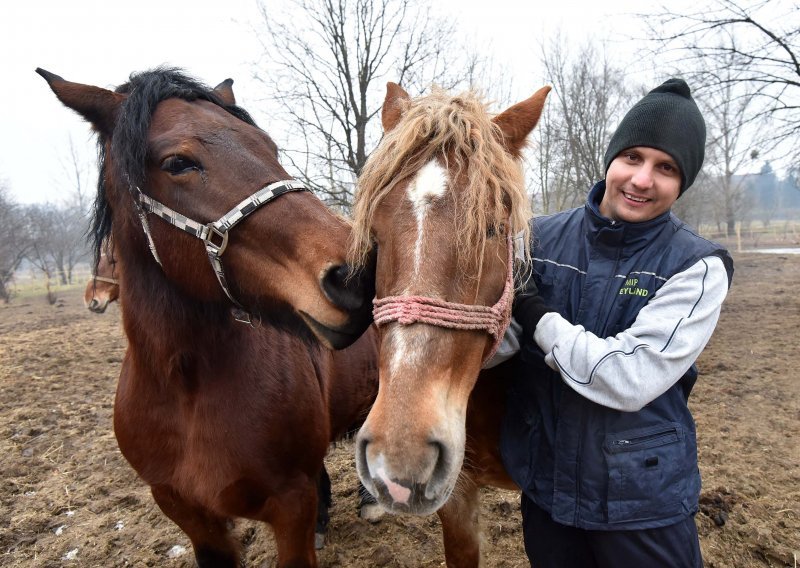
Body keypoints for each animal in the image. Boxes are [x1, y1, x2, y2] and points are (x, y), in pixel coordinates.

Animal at [41, 69, 382, 564]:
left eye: (269, 147)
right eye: (178, 162)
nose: (357, 276)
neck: (188, 392)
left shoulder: (290, 507)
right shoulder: (193, 518)